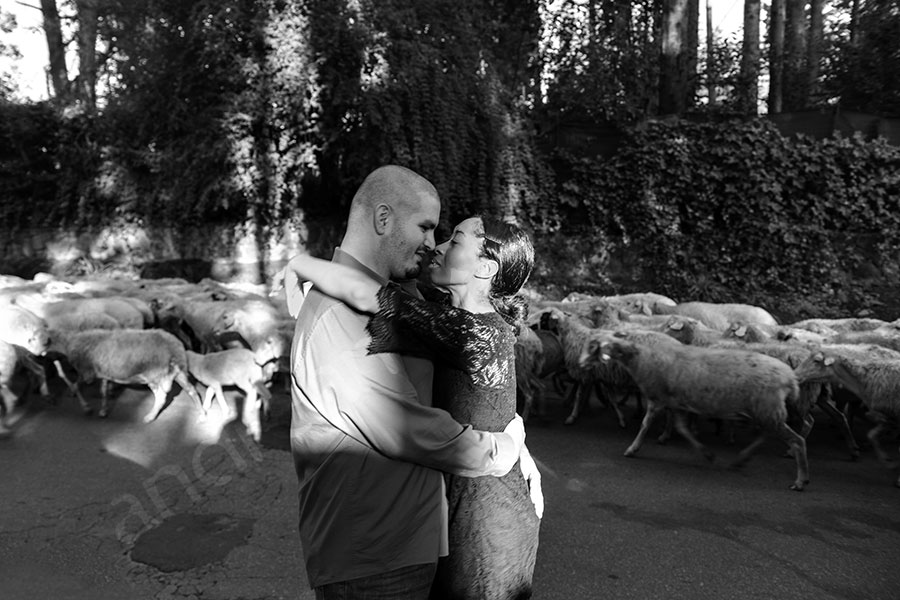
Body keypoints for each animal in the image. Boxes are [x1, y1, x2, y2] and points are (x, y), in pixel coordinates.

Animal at [48, 328, 204, 422]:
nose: (51, 361)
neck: (68, 343)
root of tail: (174, 346)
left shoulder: (87, 373)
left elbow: (76, 386)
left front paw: (86, 408)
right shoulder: (103, 373)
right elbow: (103, 391)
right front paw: (103, 410)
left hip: (153, 374)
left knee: (161, 397)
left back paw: (150, 416)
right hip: (179, 372)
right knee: (192, 390)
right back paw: (202, 413)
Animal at [580, 332, 812, 492]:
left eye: (593, 347)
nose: (580, 364)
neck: (641, 357)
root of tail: (790, 378)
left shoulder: (657, 399)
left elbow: (645, 425)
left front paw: (632, 448)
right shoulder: (675, 403)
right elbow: (682, 428)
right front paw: (706, 453)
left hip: (768, 411)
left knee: (798, 440)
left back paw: (801, 481)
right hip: (766, 412)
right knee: (766, 436)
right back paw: (742, 459)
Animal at [796, 350, 900, 486]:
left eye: (816, 361)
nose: (796, 374)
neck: (864, 380)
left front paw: (893, 469)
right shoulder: (888, 417)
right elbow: (871, 435)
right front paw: (888, 461)